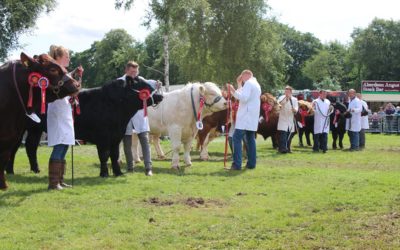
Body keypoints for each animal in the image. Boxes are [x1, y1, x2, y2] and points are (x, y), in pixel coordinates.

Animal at [6, 75, 162, 178]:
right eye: (141, 84)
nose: (160, 96)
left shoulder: (116, 136)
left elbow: (115, 155)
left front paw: (118, 172)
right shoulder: (103, 137)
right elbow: (104, 155)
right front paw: (104, 173)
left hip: (35, 129)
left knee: (30, 146)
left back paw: (35, 169)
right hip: (19, 129)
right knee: (14, 148)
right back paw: (10, 171)